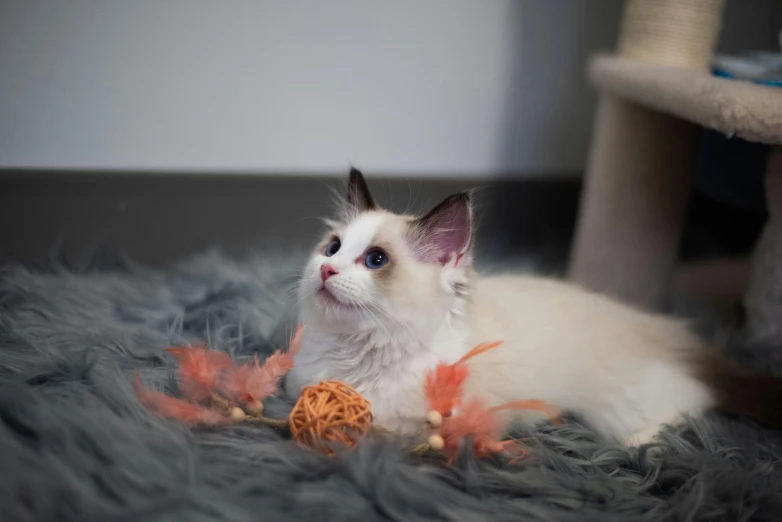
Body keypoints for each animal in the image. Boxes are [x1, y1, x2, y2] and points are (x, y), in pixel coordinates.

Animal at [288, 168, 782, 442]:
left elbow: (390, 430)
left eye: (376, 260)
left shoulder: (442, 419)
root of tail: (670, 330)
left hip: (618, 406)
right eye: (333, 248)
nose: (327, 270)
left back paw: (643, 445)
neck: (358, 355)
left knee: (694, 404)